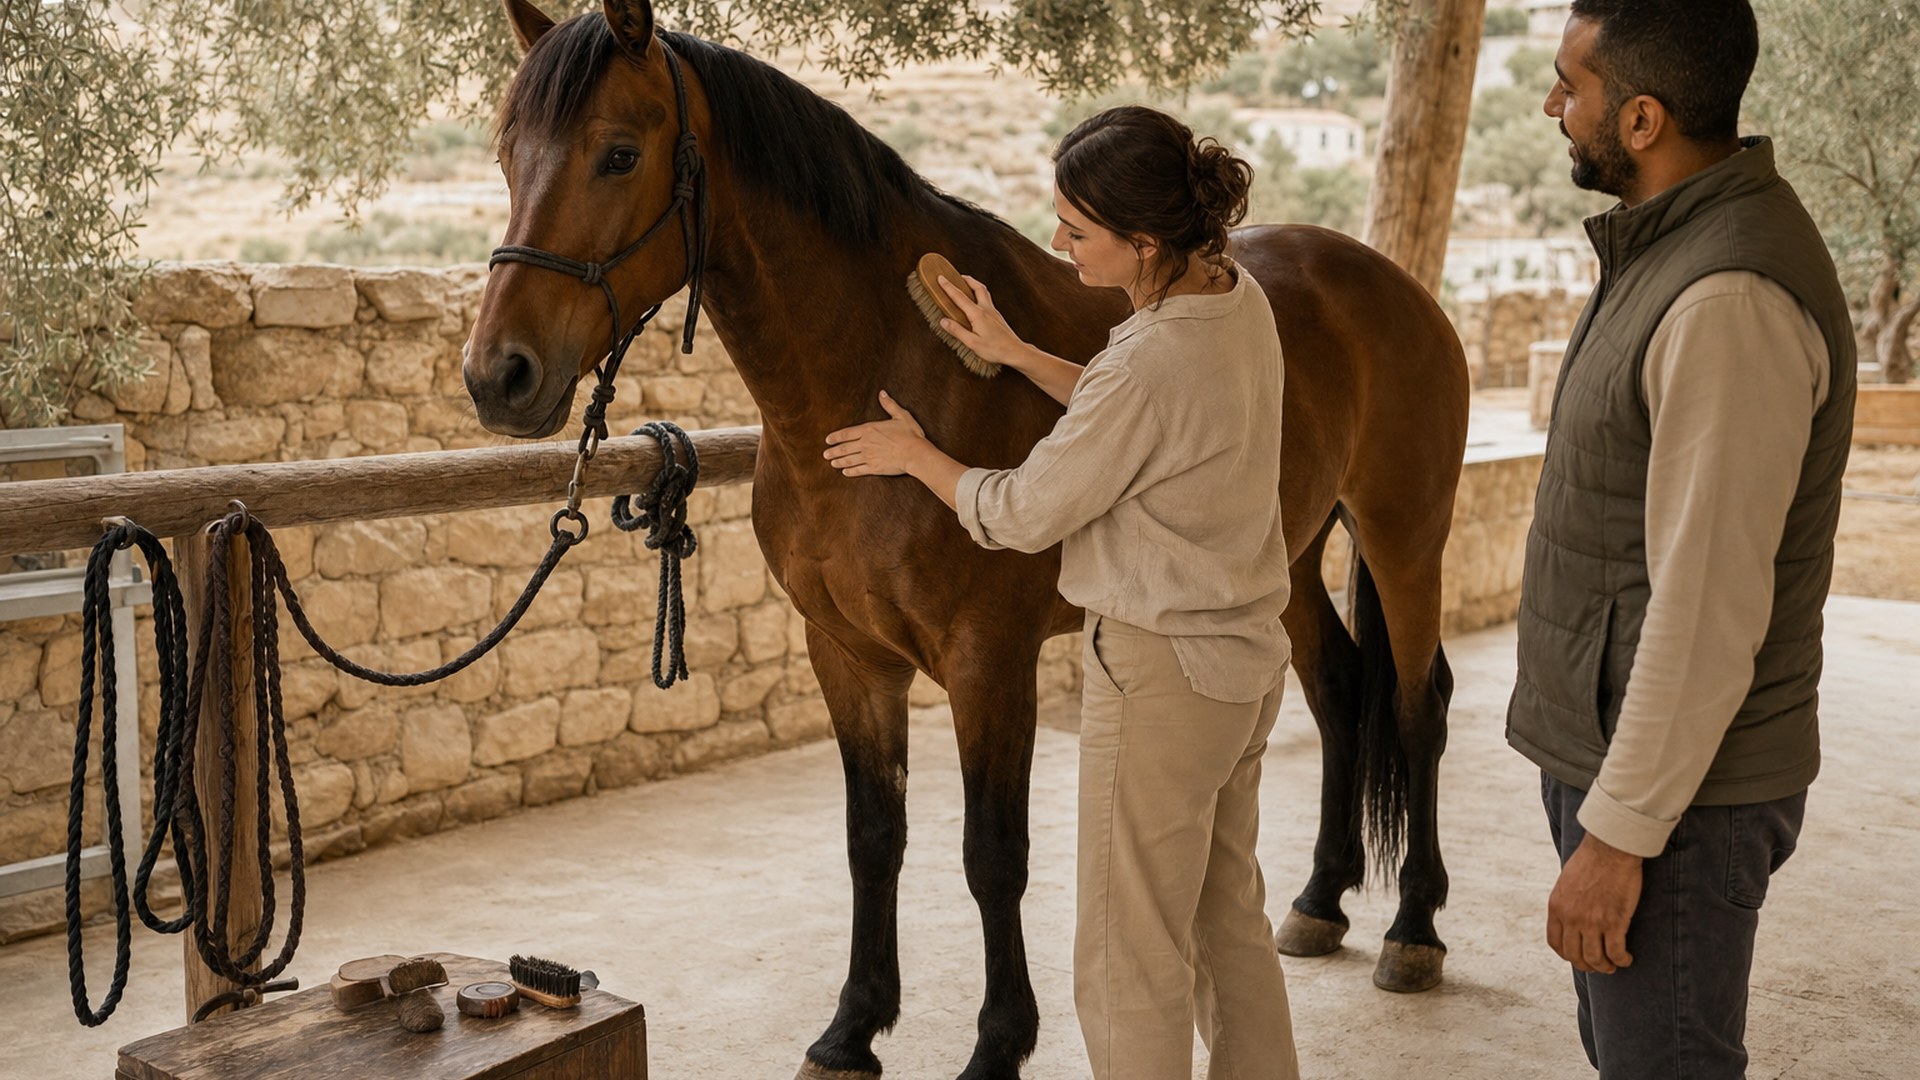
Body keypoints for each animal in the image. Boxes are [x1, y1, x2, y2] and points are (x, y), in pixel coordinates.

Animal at [464, 2, 1470, 1076]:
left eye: (618, 154)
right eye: (509, 157)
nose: (499, 376)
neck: (884, 370)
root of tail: (1387, 280)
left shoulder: (991, 664)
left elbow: (993, 857)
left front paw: (998, 1044)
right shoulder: (848, 655)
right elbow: (875, 837)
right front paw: (853, 1028)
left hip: (1404, 539)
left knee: (1418, 704)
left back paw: (1413, 929)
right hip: (1288, 559)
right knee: (1338, 690)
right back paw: (1321, 900)